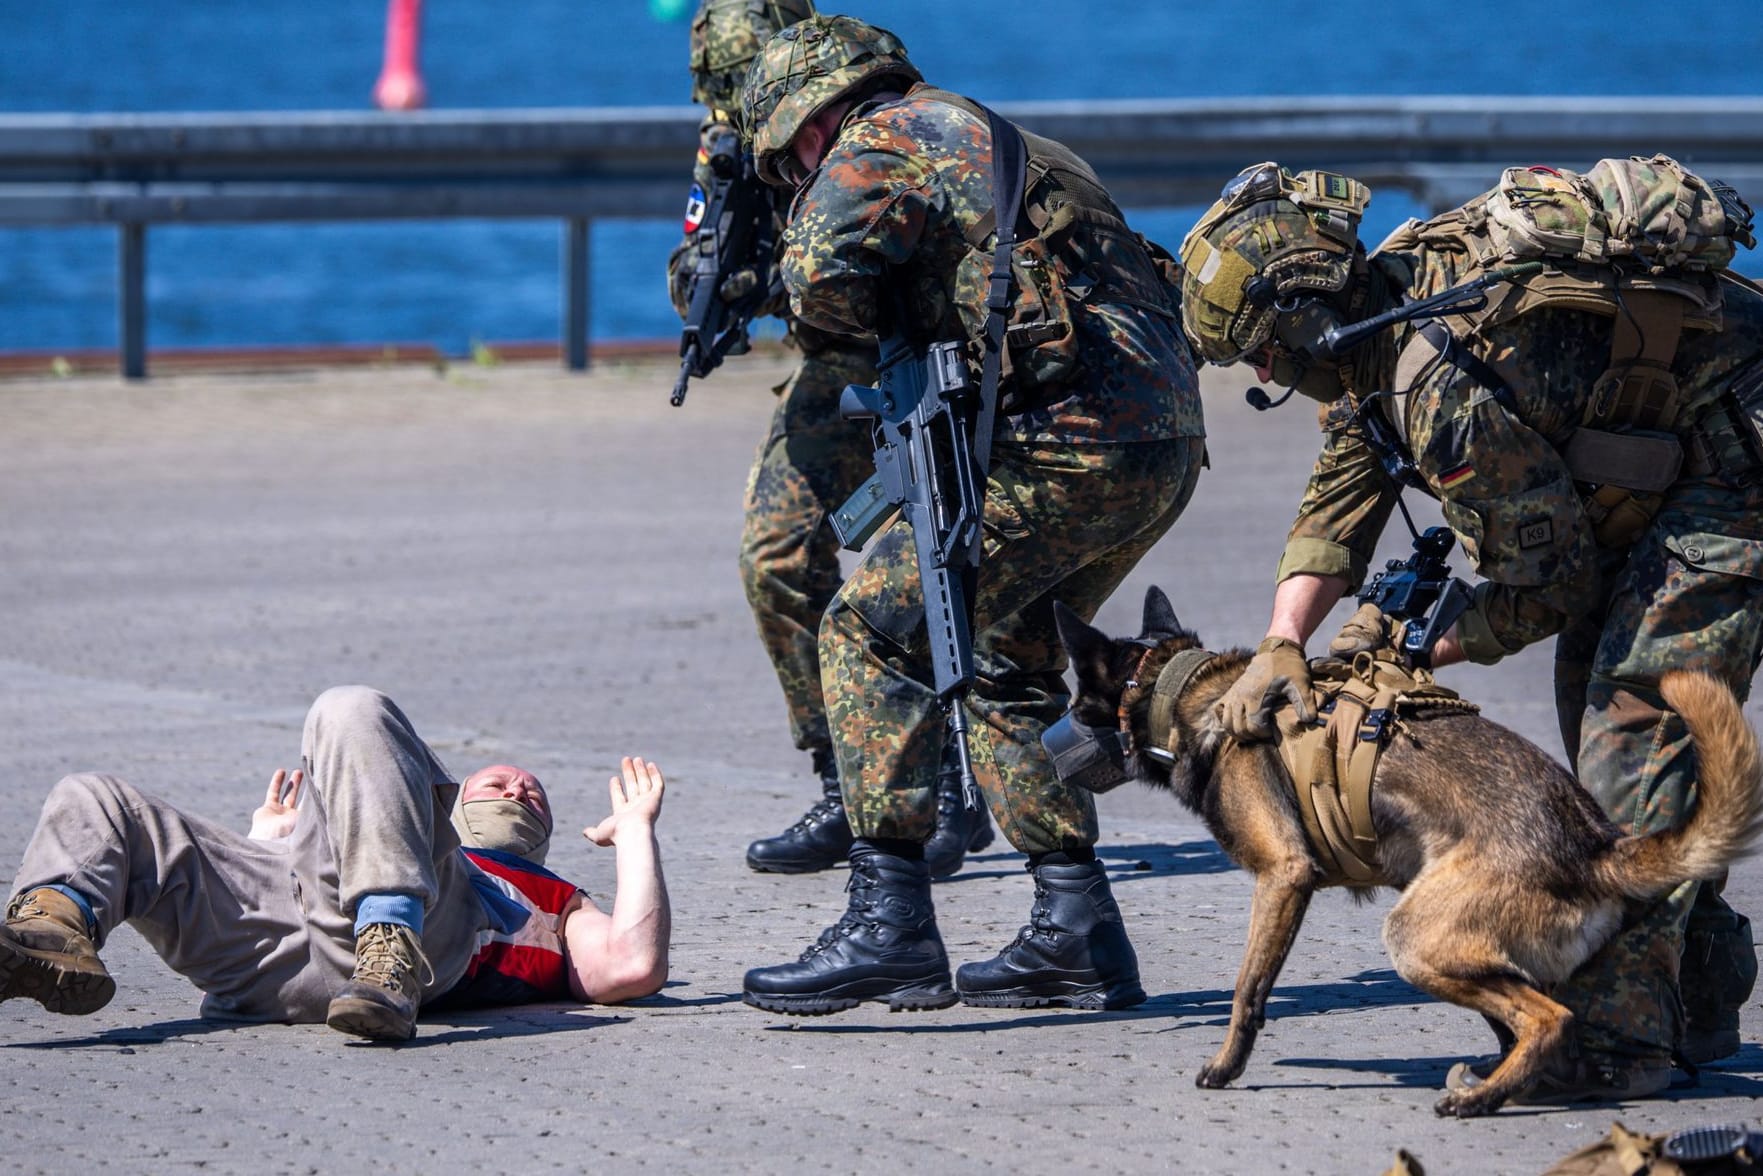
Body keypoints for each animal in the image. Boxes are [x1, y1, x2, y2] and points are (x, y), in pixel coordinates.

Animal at [1050, 592, 1755, 1121]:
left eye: (1074, 700)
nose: (1045, 744)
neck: (1188, 693)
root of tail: (1593, 846)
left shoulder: (1282, 878)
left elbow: (1247, 990)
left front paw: (1226, 1066)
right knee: (1541, 1021)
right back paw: (1506, 1082)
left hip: (1416, 940)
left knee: (1548, 1020)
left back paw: (1480, 1099)